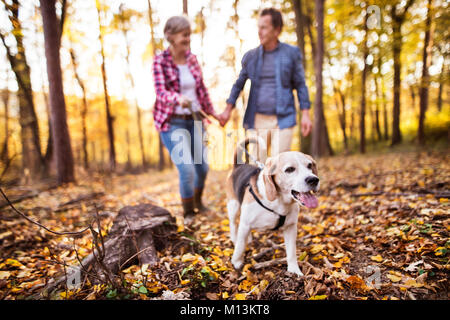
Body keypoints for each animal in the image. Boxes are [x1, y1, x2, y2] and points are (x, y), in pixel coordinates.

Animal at [227, 139, 318, 276]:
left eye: (309, 165)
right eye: (290, 169)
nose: (314, 180)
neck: (279, 201)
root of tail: (238, 166)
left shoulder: (291, 227)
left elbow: (291, 251)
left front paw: (294, 270)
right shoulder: (245, 223)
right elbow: (240, 245)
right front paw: (236, 261)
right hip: (233, 206)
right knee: (233, 224)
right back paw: (234, 238)